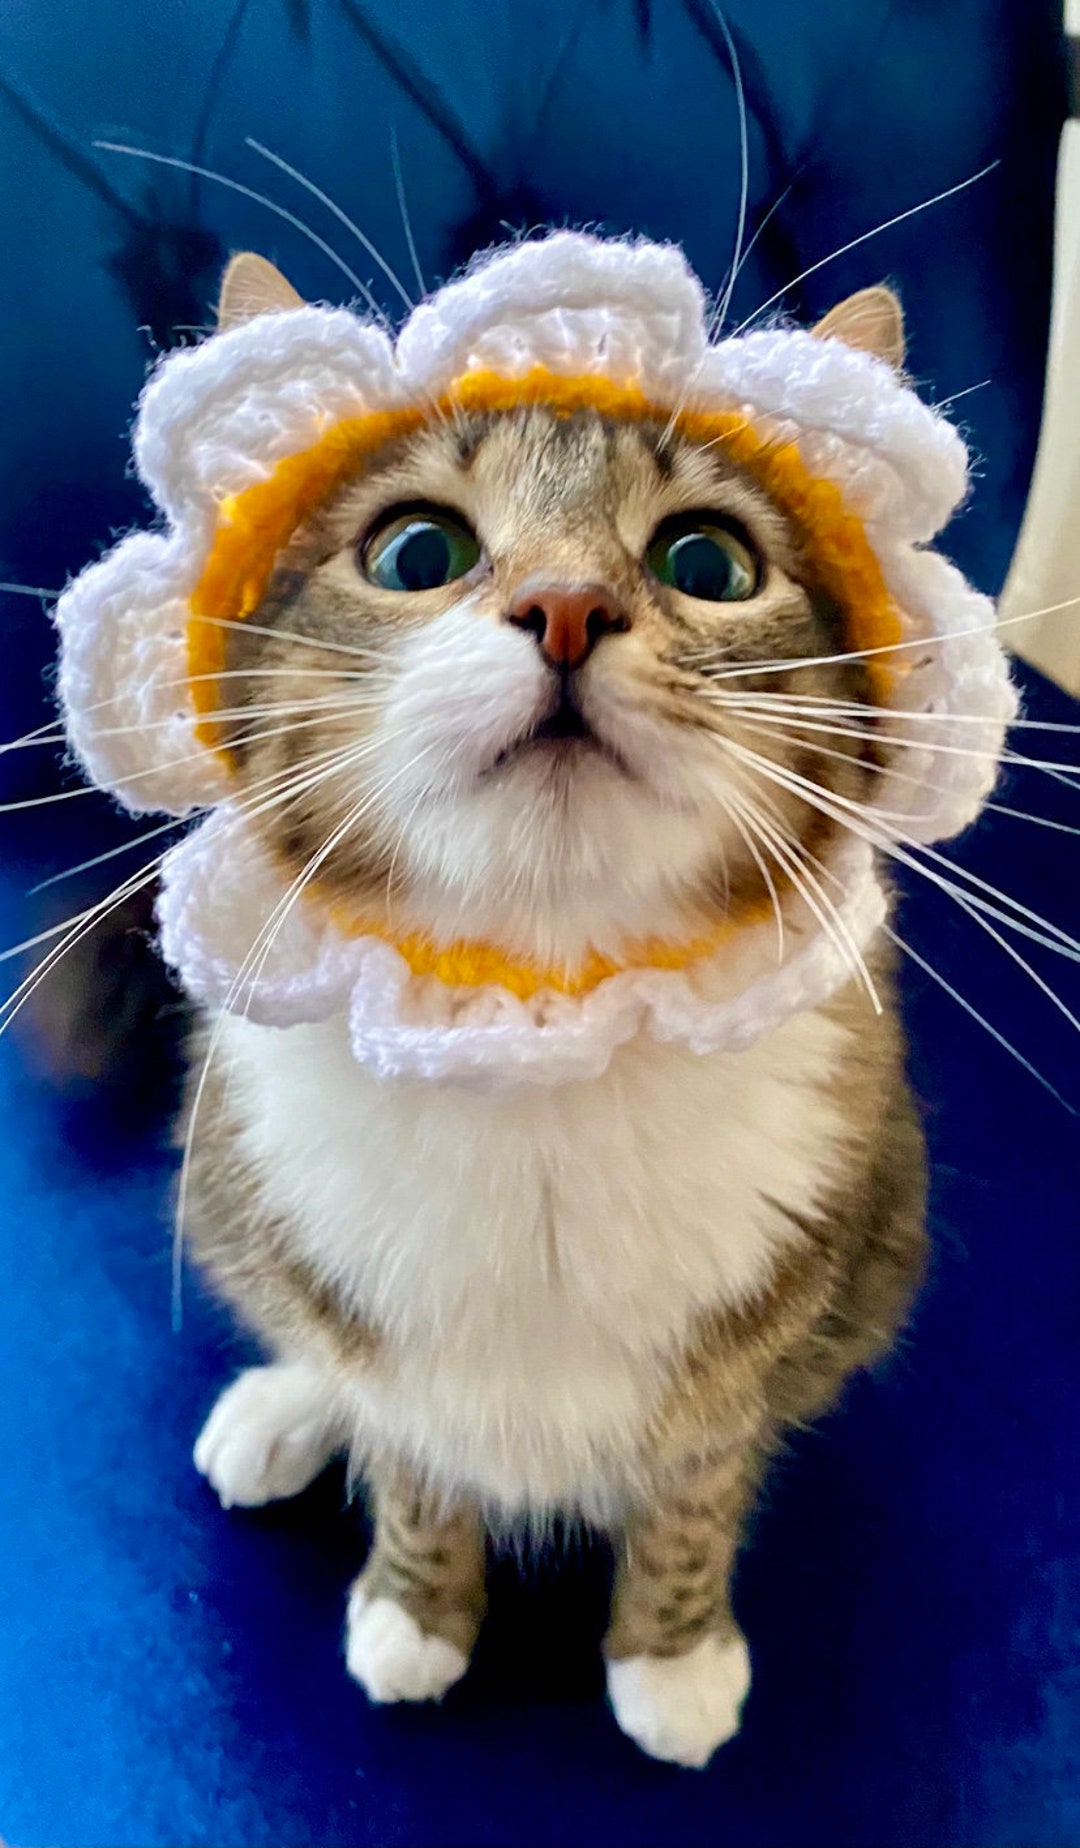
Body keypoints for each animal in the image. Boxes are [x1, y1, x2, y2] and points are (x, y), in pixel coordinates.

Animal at [177, 245, 928, 1759]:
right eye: (417, 551)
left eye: (709, 562)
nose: (570, 606)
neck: (540, 1013)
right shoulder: (365, 1306)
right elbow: (408, 1445)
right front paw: (416, 1611)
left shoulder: (769, 1314)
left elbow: (700, 1479)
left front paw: (672, 1657)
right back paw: (281, 1411)